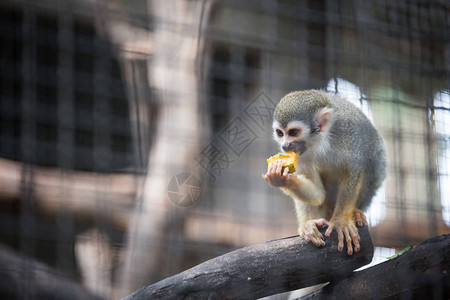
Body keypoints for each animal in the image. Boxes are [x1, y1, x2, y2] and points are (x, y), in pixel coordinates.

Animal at [264, 89, 386, 255]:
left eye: (293, 132)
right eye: (280, 133)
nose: (285, 146)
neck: (321, 140)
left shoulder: (349, 132)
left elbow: (354, 169)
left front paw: (340, 221)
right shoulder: (301, 154)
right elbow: (318, 193)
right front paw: (281, 179)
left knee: (374, 159)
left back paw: (354, 212)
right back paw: (309, 223)